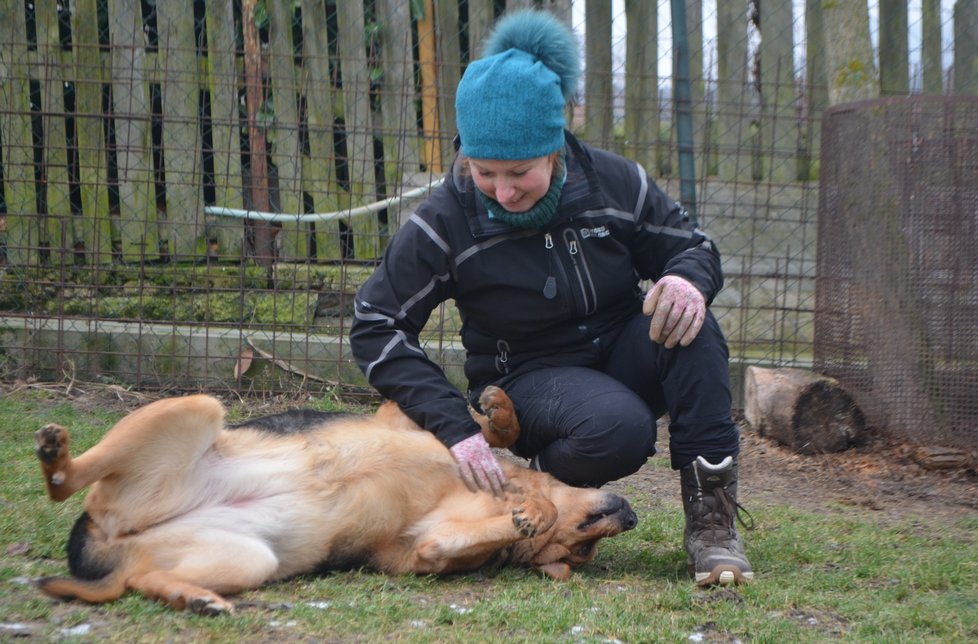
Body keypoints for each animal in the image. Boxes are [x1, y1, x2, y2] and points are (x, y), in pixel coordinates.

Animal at [34, 388, 636, 612]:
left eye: (581, 554)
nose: (630, 516)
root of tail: (109, 539)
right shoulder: (401, 416)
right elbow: (489, 432)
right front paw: (499, 409)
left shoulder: (431, 547)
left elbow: (473, 533)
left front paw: (532, 515)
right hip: (196, 406)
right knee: (65, 483)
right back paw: (56, 452)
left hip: (250, 560)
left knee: (141, 579)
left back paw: (194, 598)